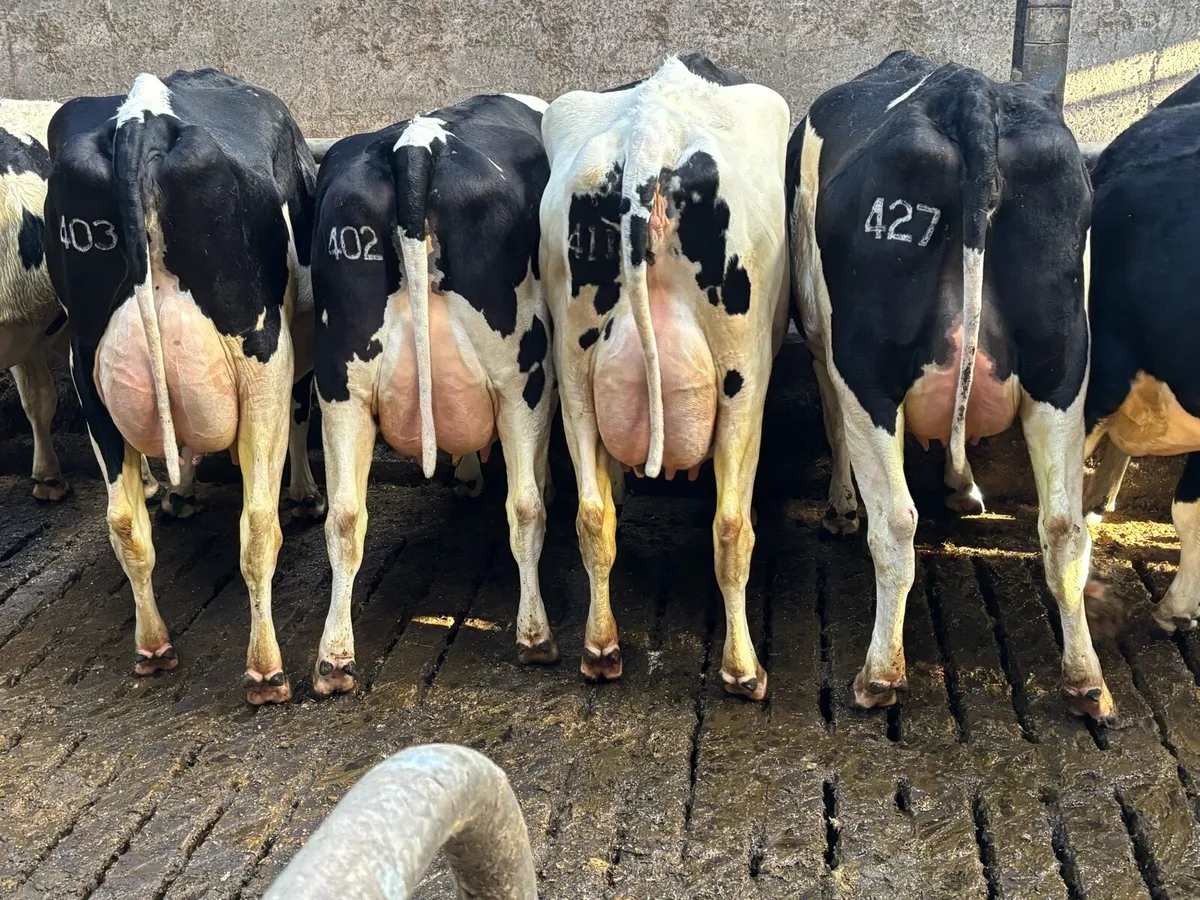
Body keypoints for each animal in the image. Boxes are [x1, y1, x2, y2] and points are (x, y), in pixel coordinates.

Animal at [45, 68, 324, 704]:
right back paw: (266, 671)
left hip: (87, 370)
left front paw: (182, 494)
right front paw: (305, 494)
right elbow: (300, 420)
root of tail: (144, 118)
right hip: (262, 354)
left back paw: (153, 647)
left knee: (124, 521)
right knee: (257, 526)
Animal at [311, 93, 557, 695]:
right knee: (524, 507)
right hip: (522, 376)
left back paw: (334, 659)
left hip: (341, 386)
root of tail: (415, 146)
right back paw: (535, 636)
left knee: (345, 517)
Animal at [540, 55, 790, 699]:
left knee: (591, 515)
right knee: (730, 526)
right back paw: (743, 670)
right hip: (743, 377)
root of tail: (650, 127)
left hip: (573, 370)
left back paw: (601, 650)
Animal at [788, 51, 1110, 721]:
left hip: (869, 367)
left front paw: (840, 508)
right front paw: (964, 489)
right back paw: (1086, 680)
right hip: (1063, 363)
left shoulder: (823, 343)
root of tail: (970, 93)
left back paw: (880, 675)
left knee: (896, 520)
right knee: (1063, 524)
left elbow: (833, 426)